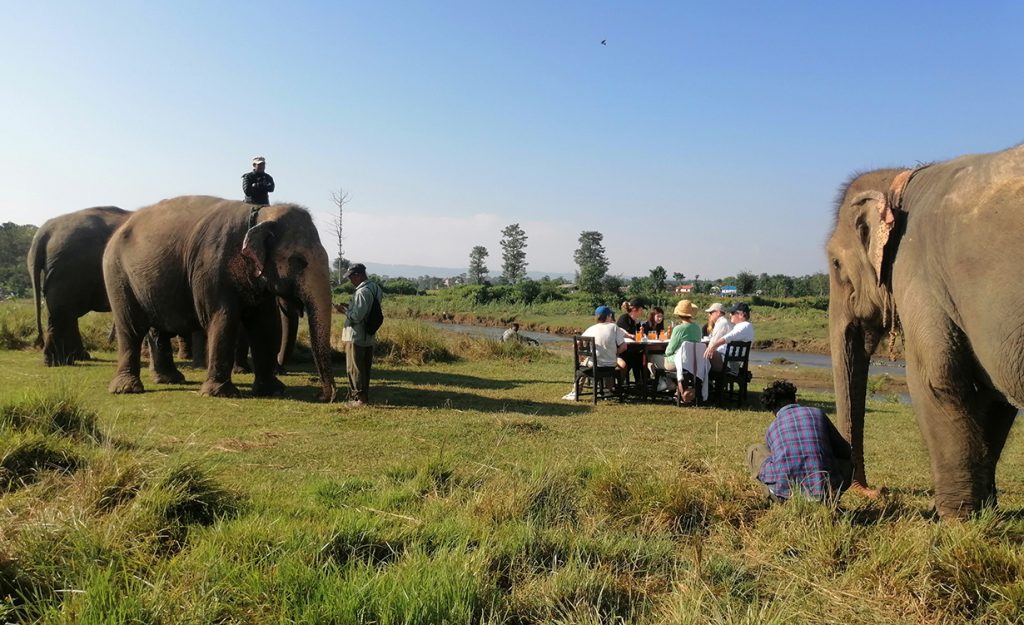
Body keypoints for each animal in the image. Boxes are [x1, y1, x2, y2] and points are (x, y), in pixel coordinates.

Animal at [27, 204, 131, 364]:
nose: (109, 340)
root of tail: (44, 231)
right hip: (69, 269)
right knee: (63, 312)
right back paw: (57, 361)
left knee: (64, 312)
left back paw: (73, 357)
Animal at [102, 194, 335, 399]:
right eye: (299, 261)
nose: (322, 395)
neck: (260, 213)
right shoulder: (211, 266)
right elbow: (223, 318)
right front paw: (220, 393)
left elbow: (265, 325)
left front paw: (273, 391)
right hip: (117, 275)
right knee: (131, 327)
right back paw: (127, 389)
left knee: (158, 330)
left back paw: (169, 380)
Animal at [823, 143, 1024, 518]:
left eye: (836, 264)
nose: (874, 491)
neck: (900, 183)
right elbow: (992, 394)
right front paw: (984, 513)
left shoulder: (918, 271)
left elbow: (936, 379)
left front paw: (954, 519)